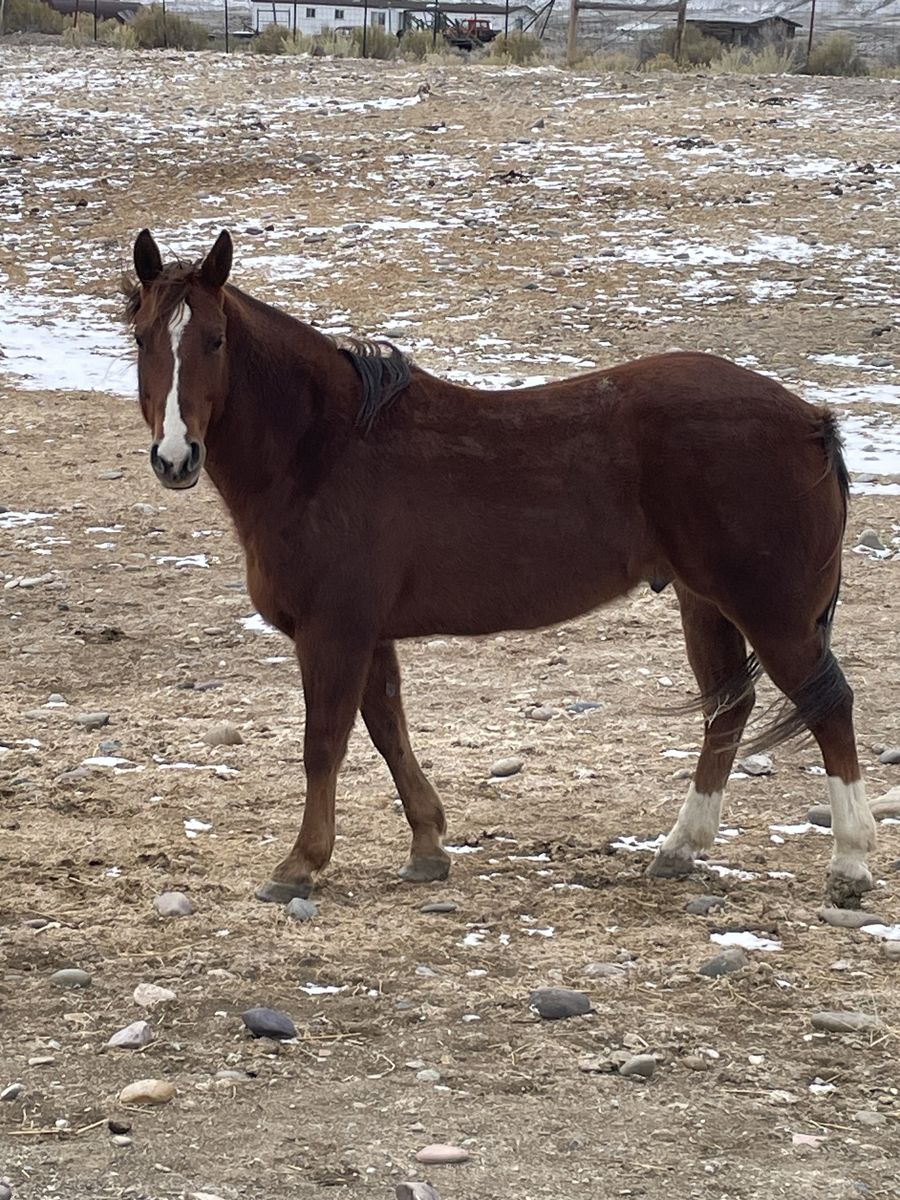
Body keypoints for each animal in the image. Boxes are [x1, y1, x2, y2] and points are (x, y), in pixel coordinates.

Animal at [126, 228, 876, 909]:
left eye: (215, 339)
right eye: (142, 339)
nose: (175, 457)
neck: (324, 446)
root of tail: (810, 419)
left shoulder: (333, 631)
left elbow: (325, 743)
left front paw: (301, 863)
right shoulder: (370, 633)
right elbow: (388, 730)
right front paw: (427, 846)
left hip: (772, 615)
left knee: (830, 706)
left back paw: (849, 863)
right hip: (707, 604)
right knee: (729, 709)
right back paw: (679, 849)